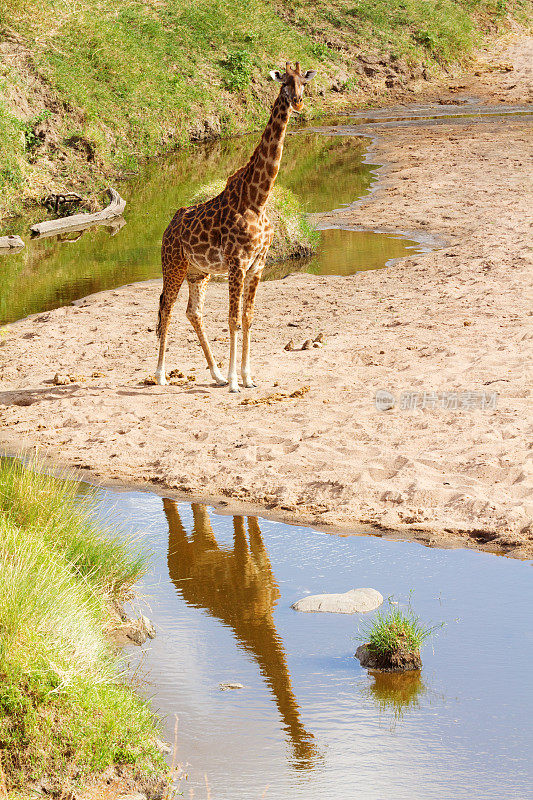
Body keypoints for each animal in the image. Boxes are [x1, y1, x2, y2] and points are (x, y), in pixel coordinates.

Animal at [154, 61, 316, 392]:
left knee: (193, 312)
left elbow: (249, 317)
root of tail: (168, 227)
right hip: (173, 265)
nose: (298, 102)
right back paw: (161, 375)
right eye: (284, 83)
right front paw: (233, 382)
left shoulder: (258, 265)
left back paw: (214, 373)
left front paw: (247, 377)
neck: (258, 199)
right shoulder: (237, 263)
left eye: (304, 83)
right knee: (166, 307)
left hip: (198, 272)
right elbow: (233, 319)